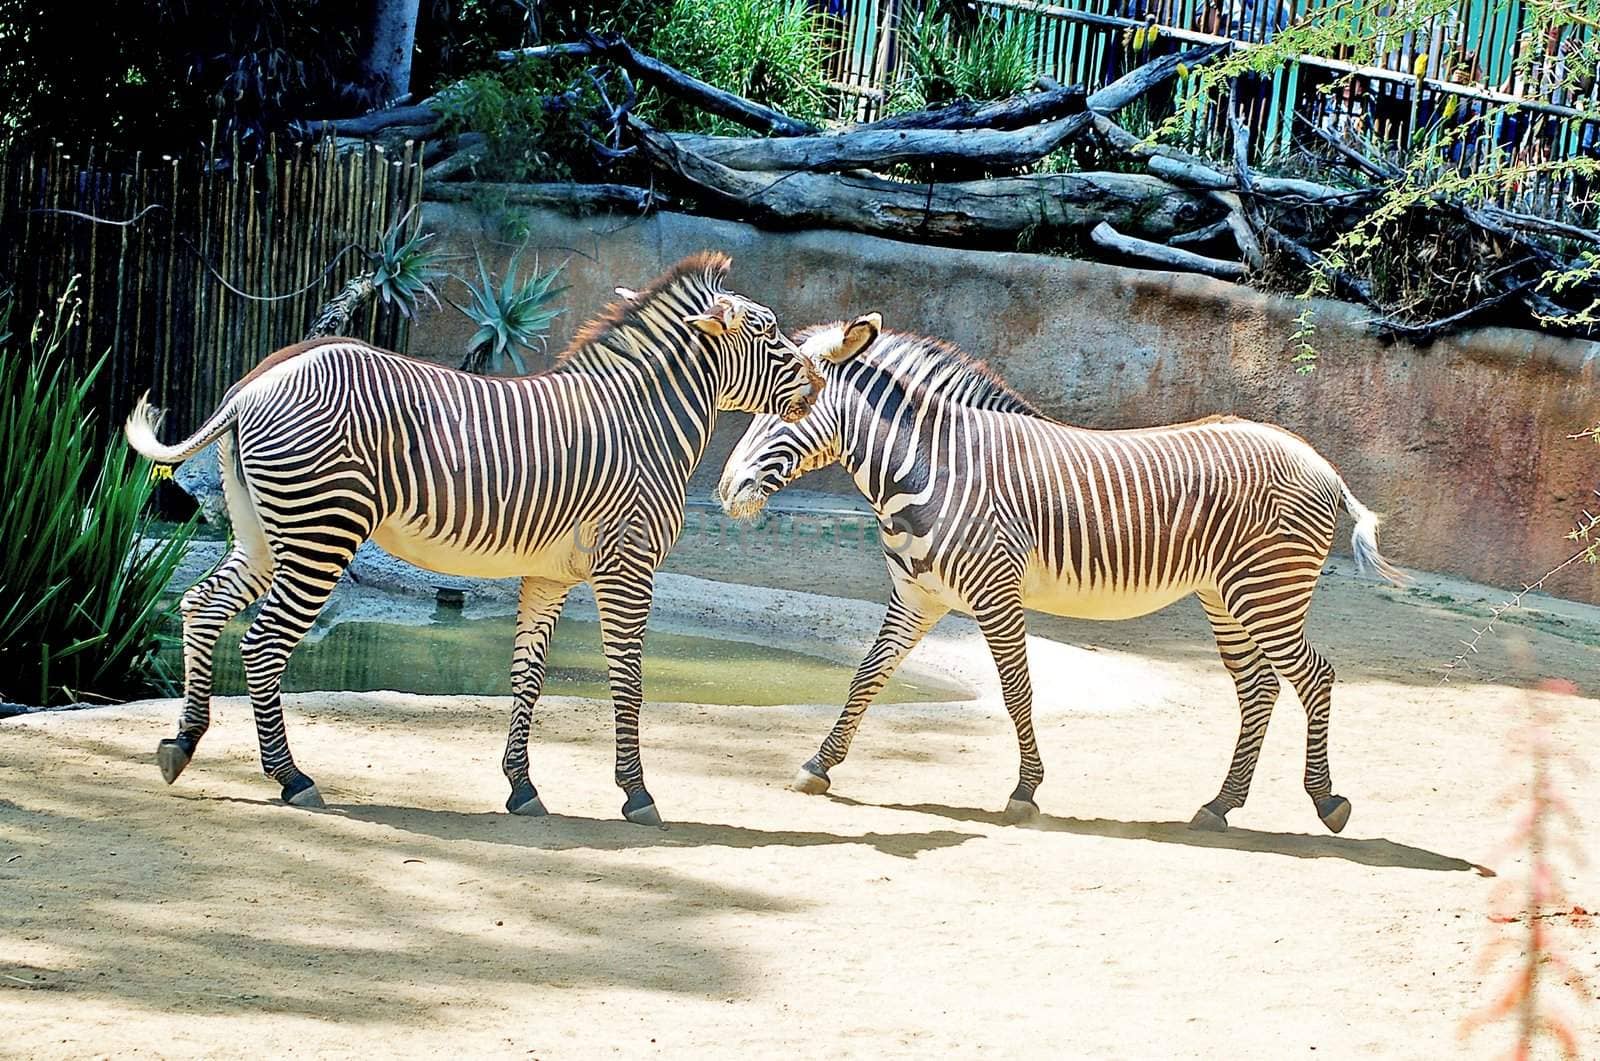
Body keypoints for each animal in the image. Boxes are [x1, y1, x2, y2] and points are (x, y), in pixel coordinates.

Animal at [126, 252, 825, 825]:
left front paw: (521, 787)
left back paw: (182, 742)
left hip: (264, 530)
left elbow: (527, 675)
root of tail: (258, 379)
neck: (644, 420)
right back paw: (291, 778)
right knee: (264, 640)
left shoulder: (549, 573)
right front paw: (636, 793)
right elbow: (628, 678)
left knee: (202, 605)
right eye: (768, 332)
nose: (822, 382)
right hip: (322, 529)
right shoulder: (628, 564)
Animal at [720, 320, 1408, 832]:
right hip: (1227, 596)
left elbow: (1017, 691)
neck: (928, 468)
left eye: (790, 408)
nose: (726, 491)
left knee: (1314, 677)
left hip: (1267, 590)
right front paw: (819, 765)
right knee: (1258, 689)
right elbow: (868, 675)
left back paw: (1327, 801)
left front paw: (1025, 791)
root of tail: (1321, 461)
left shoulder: (995, 591)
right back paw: (1219, 805)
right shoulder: (917, 595)